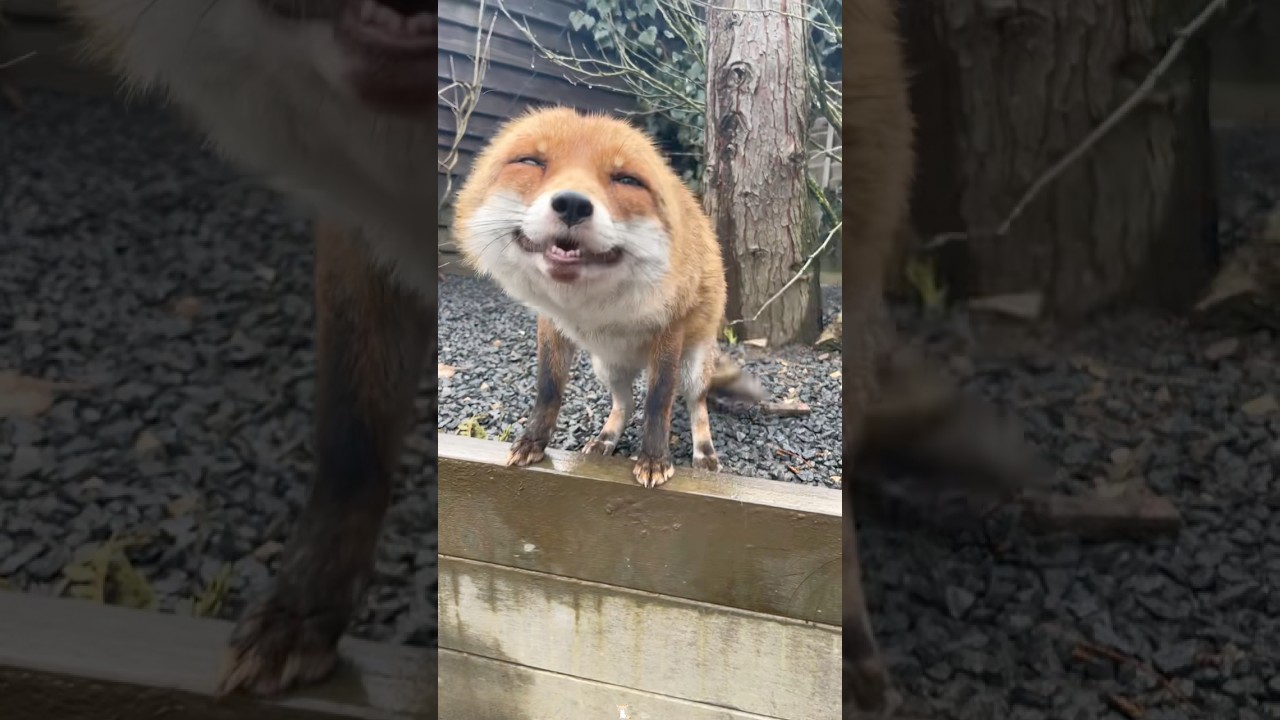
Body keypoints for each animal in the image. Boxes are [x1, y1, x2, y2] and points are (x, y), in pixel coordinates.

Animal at [452, 107, 763, 487]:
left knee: (696, 406)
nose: (572, 204)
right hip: (607, 368)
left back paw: (704, 453)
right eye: (530, 161)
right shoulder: (551, 324)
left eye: (626, 180)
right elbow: (548, 389)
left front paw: (654, 459)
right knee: (624, 404)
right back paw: (606, 439)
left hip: (692, 370)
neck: (593, 308)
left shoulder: (670, 330)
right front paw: (533, 441)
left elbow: (658, 402)